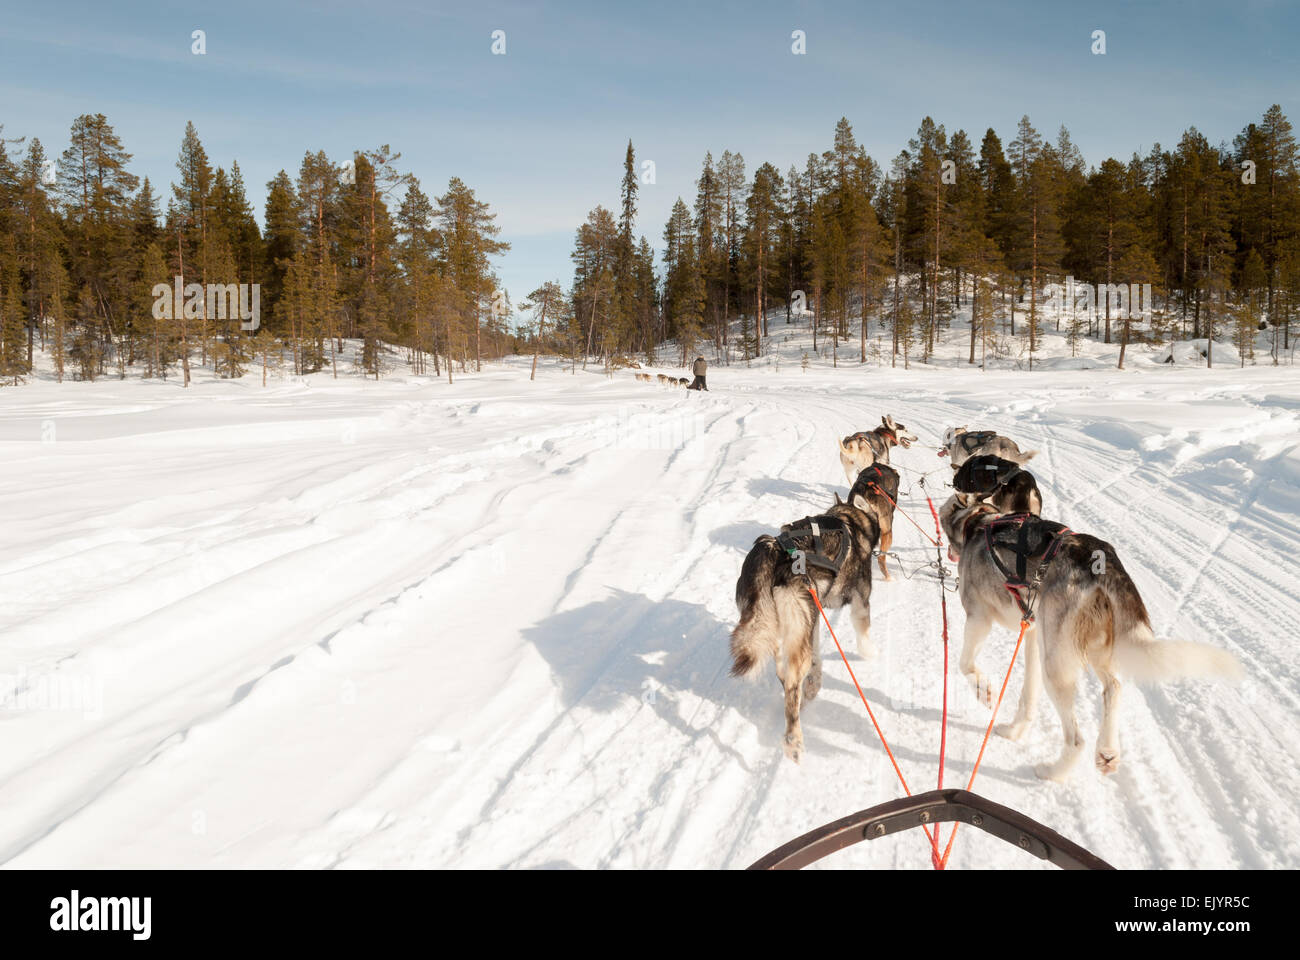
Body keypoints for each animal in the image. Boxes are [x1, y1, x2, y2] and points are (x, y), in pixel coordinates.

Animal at [733, 496, 883, 759]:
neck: (850, 519)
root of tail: (774, 551)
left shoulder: (813, 619)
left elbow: (816, 658)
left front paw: (814, 684)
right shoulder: (860, 599)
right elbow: (863, 630)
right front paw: (870, 653)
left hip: (784, 628)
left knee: (785, 673)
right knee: (792, 683)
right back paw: (793, 740)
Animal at [941, 494, 1232, 780]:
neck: (977, 522)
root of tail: (1103, 563)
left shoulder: (979, 619)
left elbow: (965, 664)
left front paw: (983, 691)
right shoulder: (1033, 634)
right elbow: (1028, 696)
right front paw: (1014, 732)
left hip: (1056, 667)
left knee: (1077, 740)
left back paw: (1053, 772)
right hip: (1078, 648)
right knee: (1113, 687)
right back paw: (1107, 750)